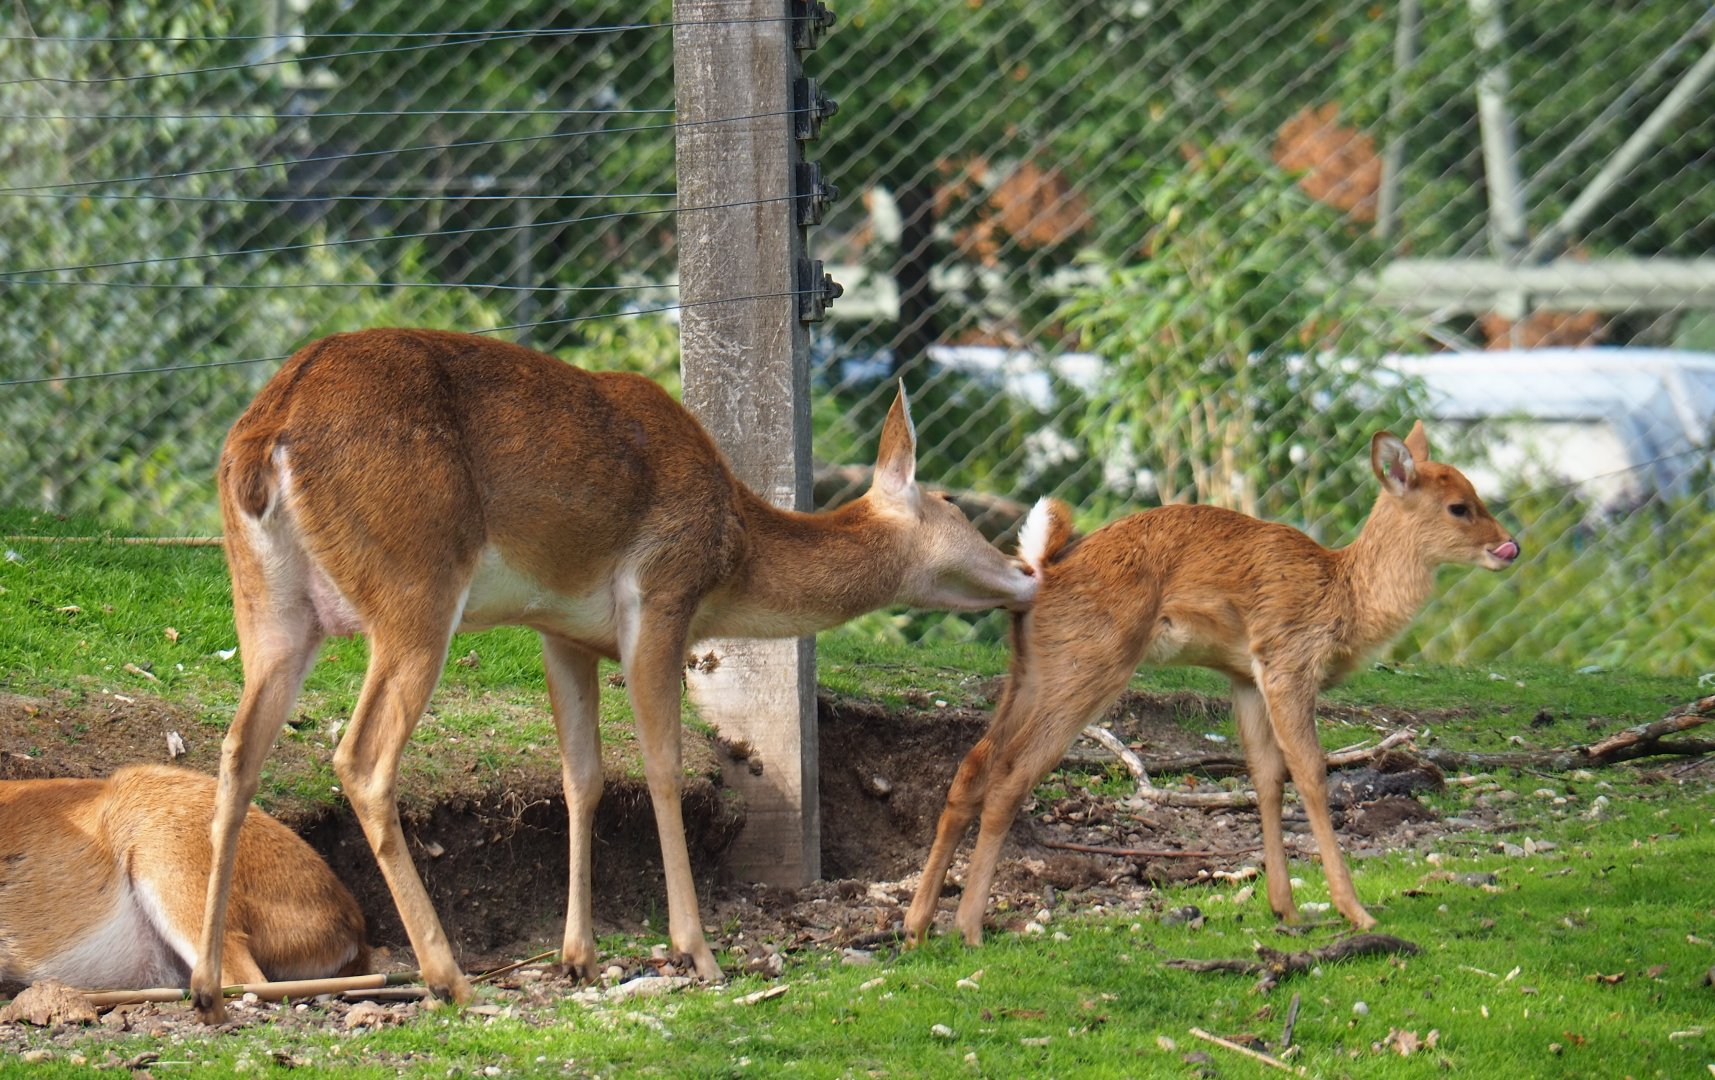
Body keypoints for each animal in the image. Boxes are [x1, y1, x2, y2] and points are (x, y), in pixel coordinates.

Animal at [191, 327, 1039, 1022]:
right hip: (414, 585)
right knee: (361, 758)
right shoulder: (659, 596)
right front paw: (696, 951)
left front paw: (580, 958)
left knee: (237, 751)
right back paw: (448, 978)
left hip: (269, 605)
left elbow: (584, 777)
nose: (1026, 573)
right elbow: (662, 765)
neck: (733, 549)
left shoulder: (560, 631)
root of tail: (265, 438)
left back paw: (207, 989)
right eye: (953, 500)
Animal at [904, 422, 1519, 947]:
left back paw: (917, 924)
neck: (1344, 596)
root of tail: (1041, 570)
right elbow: (1311, 772)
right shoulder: (1288, 658)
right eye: (1459, 507)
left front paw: (1285, 908)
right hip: (1090, 665)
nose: (1508, 547)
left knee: (975, 763)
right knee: (1013, 776)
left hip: (1031, 672)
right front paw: (1354, 910)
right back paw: (969, 927)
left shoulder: (1245, 676)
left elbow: (1266, 777)